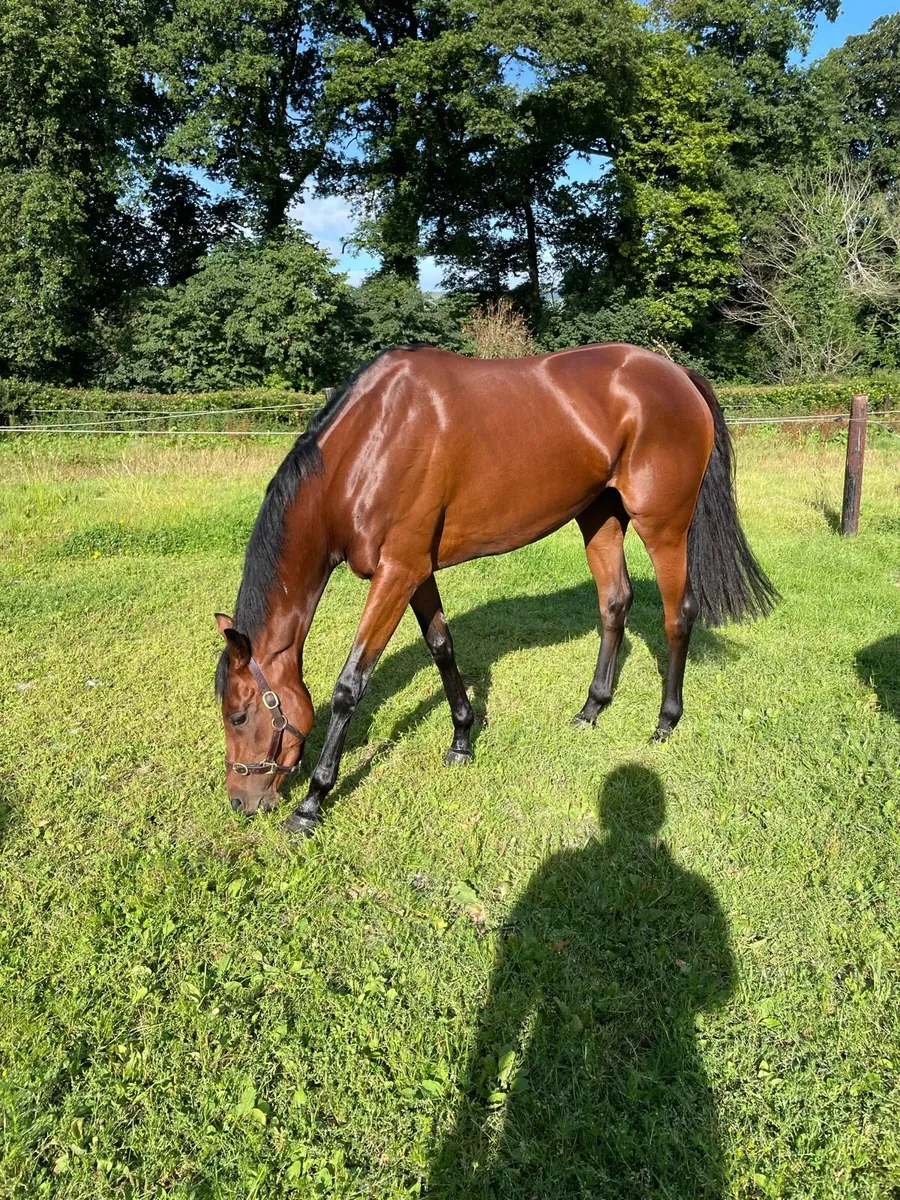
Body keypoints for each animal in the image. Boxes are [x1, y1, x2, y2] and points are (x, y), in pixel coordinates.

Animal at [215, 343, 777, 834]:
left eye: (239, 715)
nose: (241, 803)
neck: (373, 442)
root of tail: (677, 374)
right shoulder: (416, 571)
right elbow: (442, 647)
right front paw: (463, 738)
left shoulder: (396, 573)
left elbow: (350, 685)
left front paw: (311, 803)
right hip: (600, 515)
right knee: (614, 604)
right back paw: (591, 709)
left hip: (663, 524)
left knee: (678, 613)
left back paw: (665, 722)